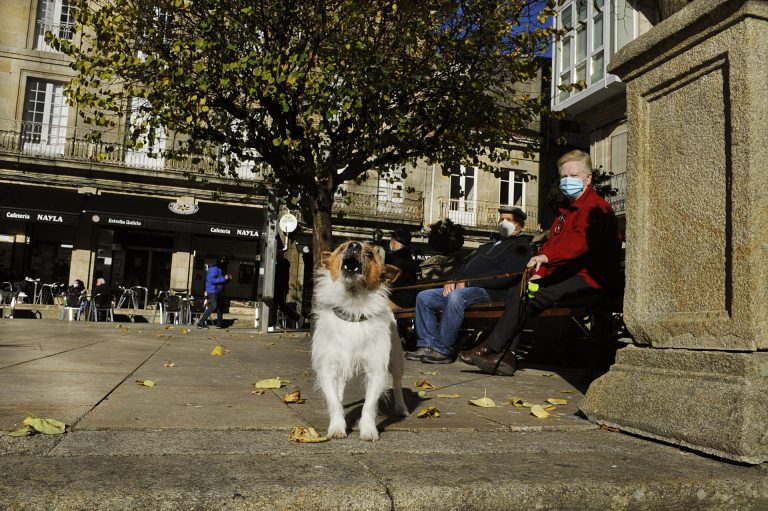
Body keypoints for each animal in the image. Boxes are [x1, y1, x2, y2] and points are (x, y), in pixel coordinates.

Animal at [310, 242, 412, 442]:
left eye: (370, 254)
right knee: (340, 390)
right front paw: (337, 426)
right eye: (341, 248)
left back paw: (401, 408)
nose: (354, 244)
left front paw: (368, 430)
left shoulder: (376, 371)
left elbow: (369, 405)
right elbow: (334, 401)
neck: (353, 309)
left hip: (396, 361)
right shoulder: (328, 369)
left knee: (397, 385)